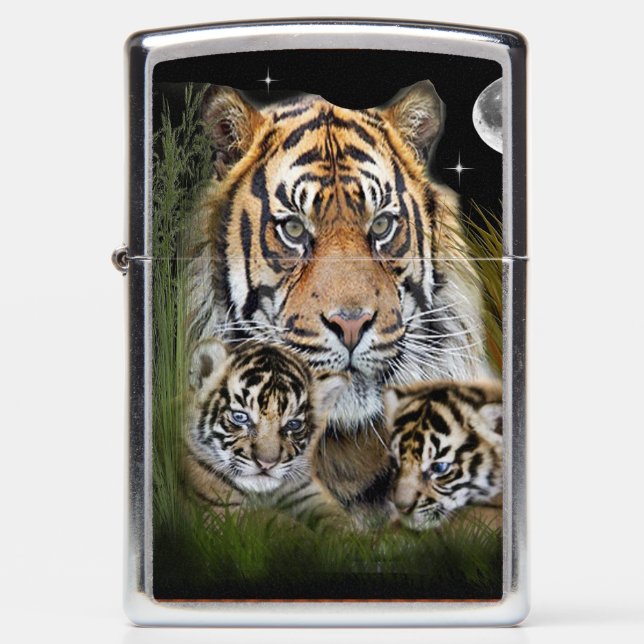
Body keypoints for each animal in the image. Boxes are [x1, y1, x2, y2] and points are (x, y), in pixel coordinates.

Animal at [185, 338, 349, 522]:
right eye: (240, 417)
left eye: (293, 425)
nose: (266, 464)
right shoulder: (221, 510)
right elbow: (278, 522)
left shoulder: (306, 489)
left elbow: (339, 521)